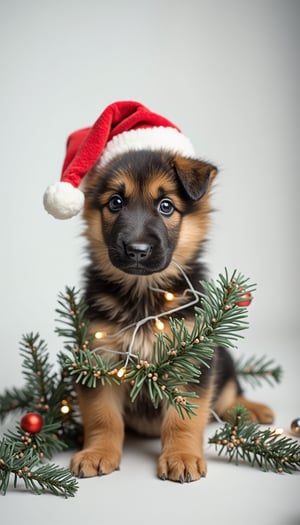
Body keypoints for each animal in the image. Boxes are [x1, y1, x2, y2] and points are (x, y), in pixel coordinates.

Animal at [71, 149, 274, 482]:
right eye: (115, 202)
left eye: (166, 206)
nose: (136, 250)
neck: (144, 295)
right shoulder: (99, 357)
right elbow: (103, 416)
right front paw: (98, 452)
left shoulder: (192, 359)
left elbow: (184, 417)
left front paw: (182, 455)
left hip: (222, 357)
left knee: (230, 392)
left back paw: (249, 408)